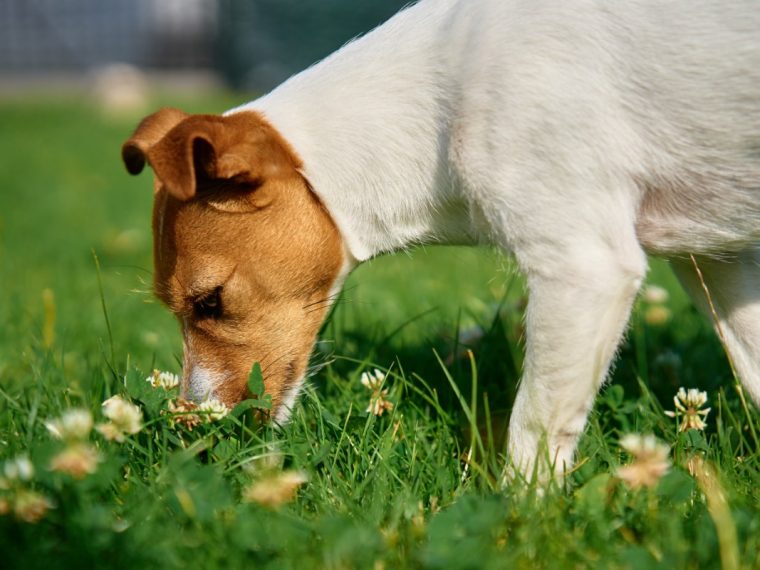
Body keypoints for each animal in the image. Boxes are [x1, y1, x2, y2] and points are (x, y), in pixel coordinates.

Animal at [120, 0, 760, 478]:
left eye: (210, 302)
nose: (193, 433)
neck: (438, 101)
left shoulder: (586, 268)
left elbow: (533, 429)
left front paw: (518, 521)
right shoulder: (715, 264)